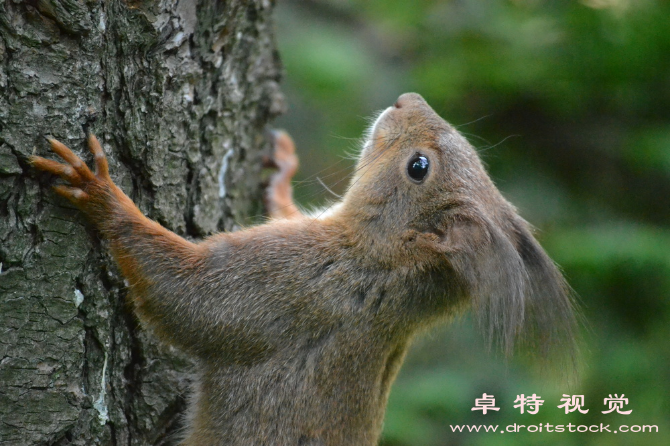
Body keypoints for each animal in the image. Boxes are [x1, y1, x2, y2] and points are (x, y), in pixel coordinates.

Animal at [30, 93, 576, 446]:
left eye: (418, 167)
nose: (407, 99)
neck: (373, 260)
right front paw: (282, 174)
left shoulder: (292, 284)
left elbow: (185, 294)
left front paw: (101, 194)